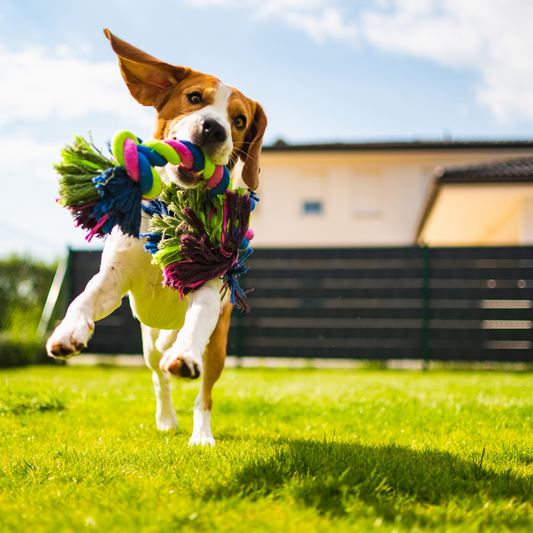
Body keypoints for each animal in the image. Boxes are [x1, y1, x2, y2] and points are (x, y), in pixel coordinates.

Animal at [46, 29, 266, 444]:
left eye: (240, 120)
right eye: (194, 97)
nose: (214, 128)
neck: (172, 215)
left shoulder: (208, 287)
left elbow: (197, 322)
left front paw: (185, 356)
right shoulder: (115, 279)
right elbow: (85, 298)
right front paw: (68, 330)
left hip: (218, 347)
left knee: (202, 392)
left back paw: (200, 432)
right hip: (147, 340)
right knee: (156, 373)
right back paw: (166, 417)